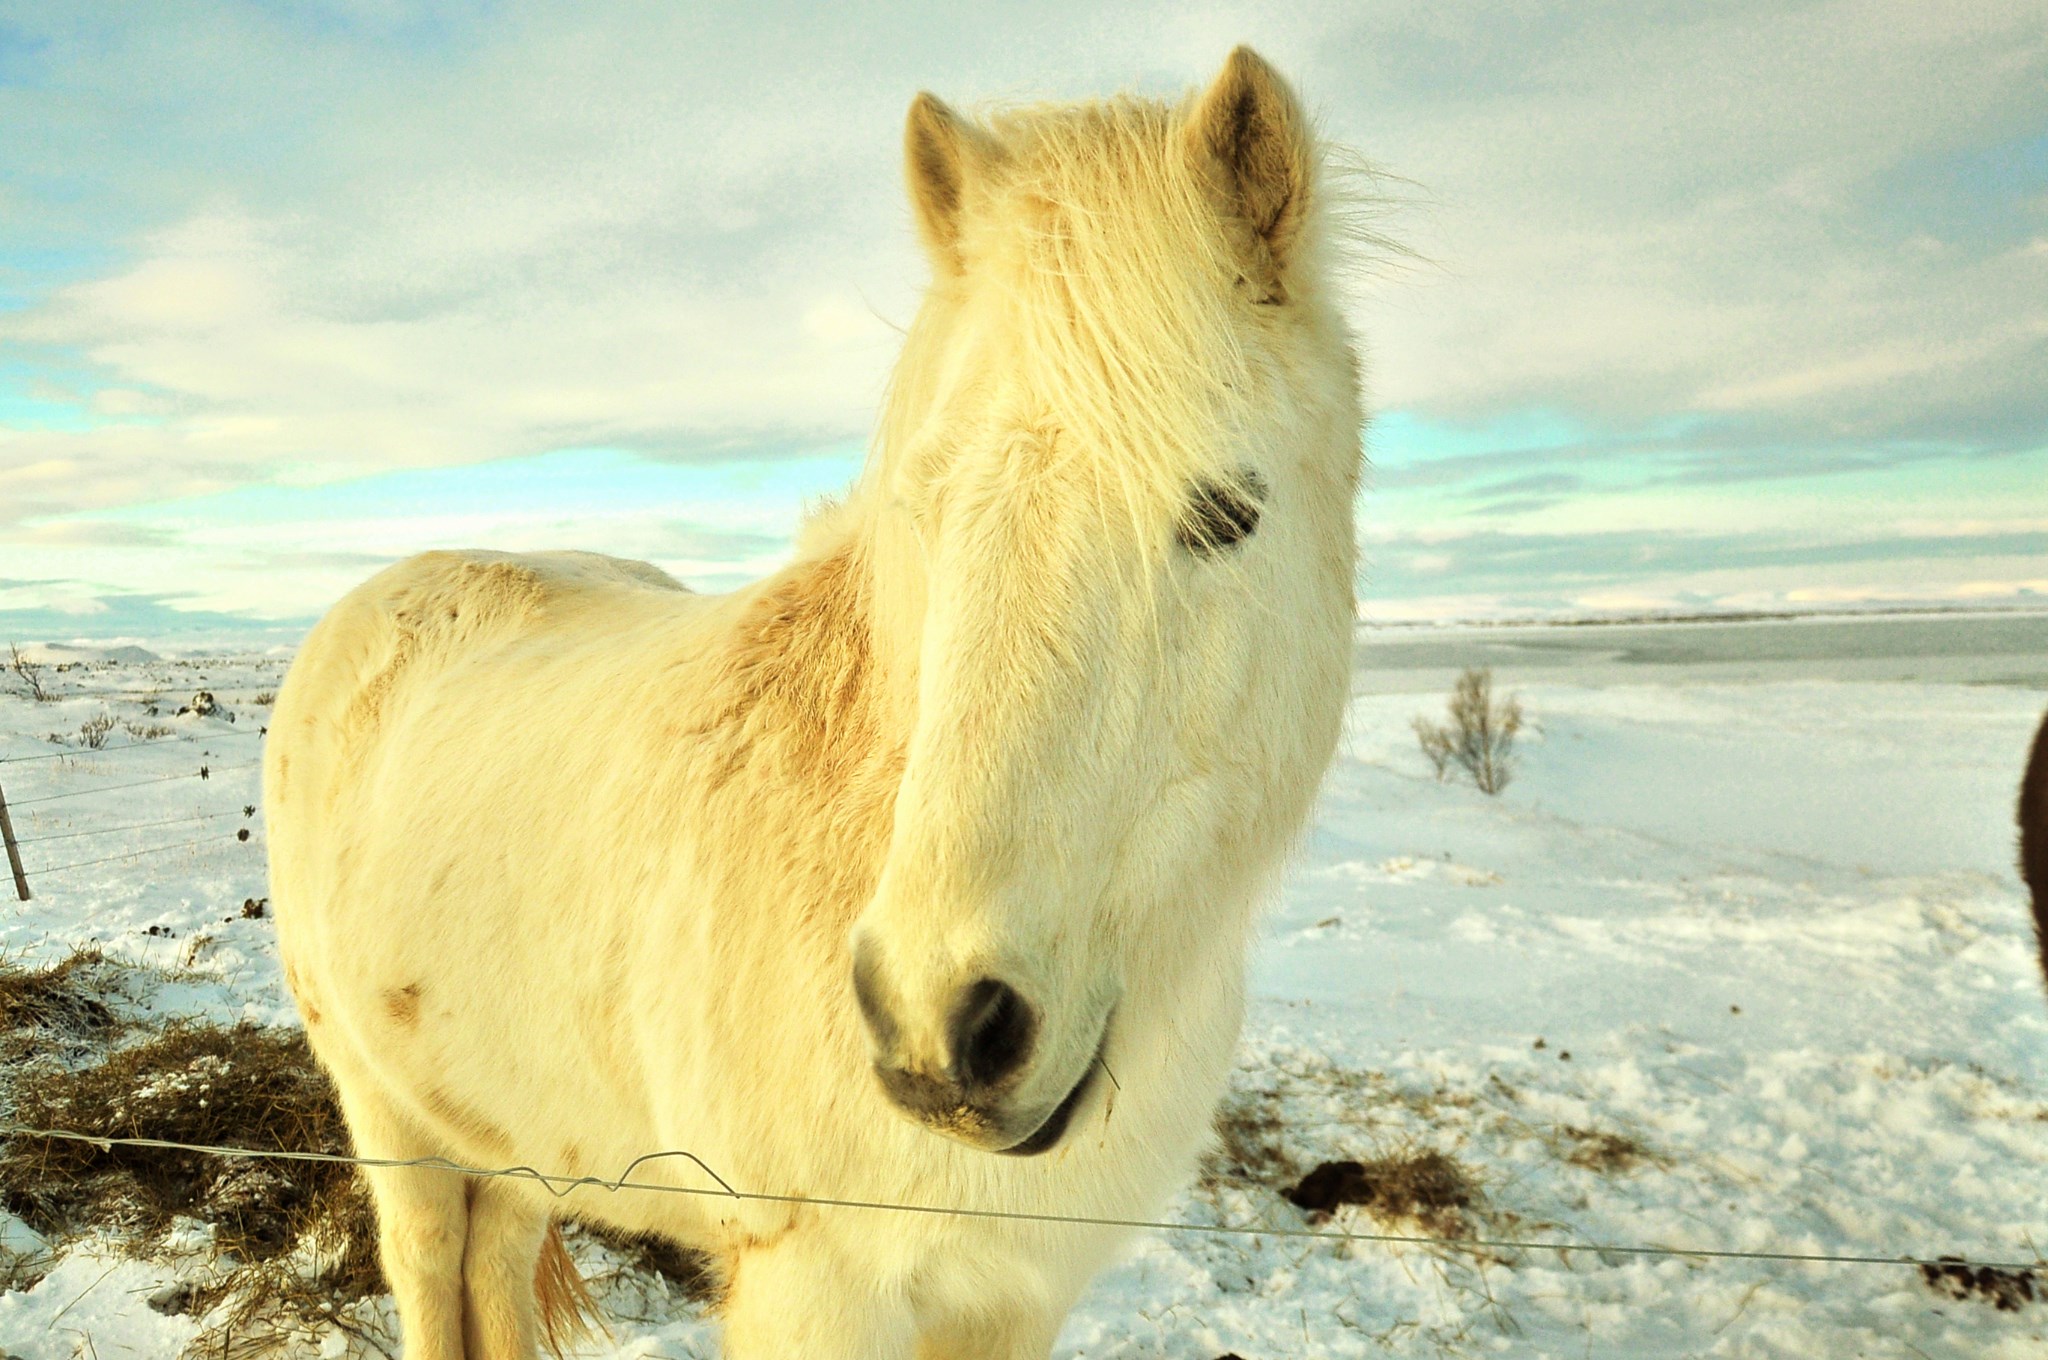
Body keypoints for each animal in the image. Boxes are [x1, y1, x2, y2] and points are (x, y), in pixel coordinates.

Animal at [264, 47, 1368, 1351]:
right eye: (926, 509)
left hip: (517, 1130)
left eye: (1228, 513)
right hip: (392, 1121)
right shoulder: (817, 1287)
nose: (942, 1027)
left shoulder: (1016, 1295)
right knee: (434, 1265)